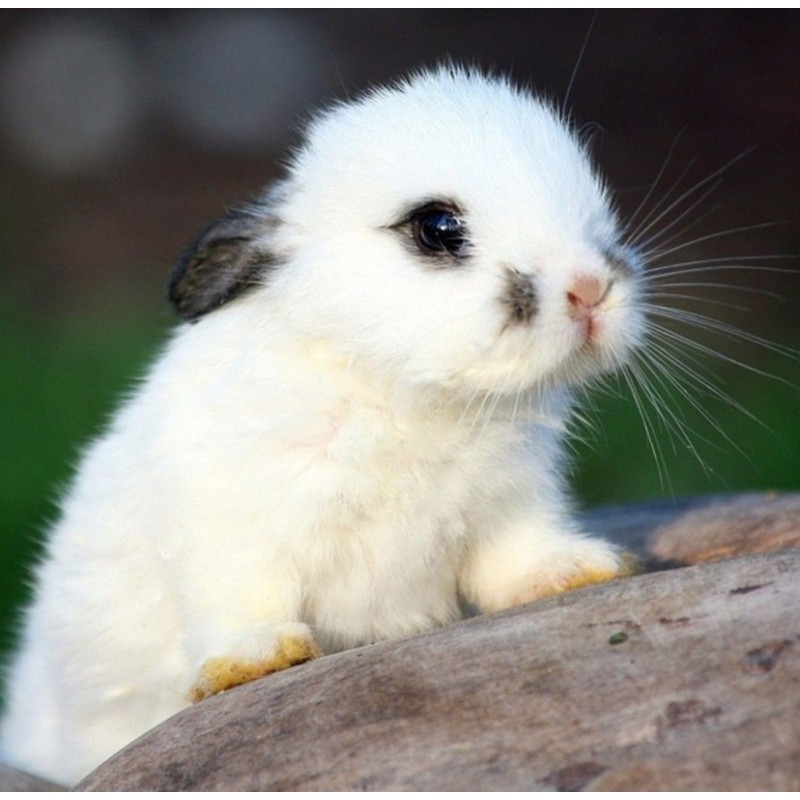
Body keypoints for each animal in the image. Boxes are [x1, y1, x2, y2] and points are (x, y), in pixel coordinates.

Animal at [0, 67, 643, 785]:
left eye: (593, 210)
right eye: (437, 227)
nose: (590, 290)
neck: (402, 391)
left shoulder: (509, 508)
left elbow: (516, 561)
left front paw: (578, 571)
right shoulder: (231, 525)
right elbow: (240, 596)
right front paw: (257, 660)